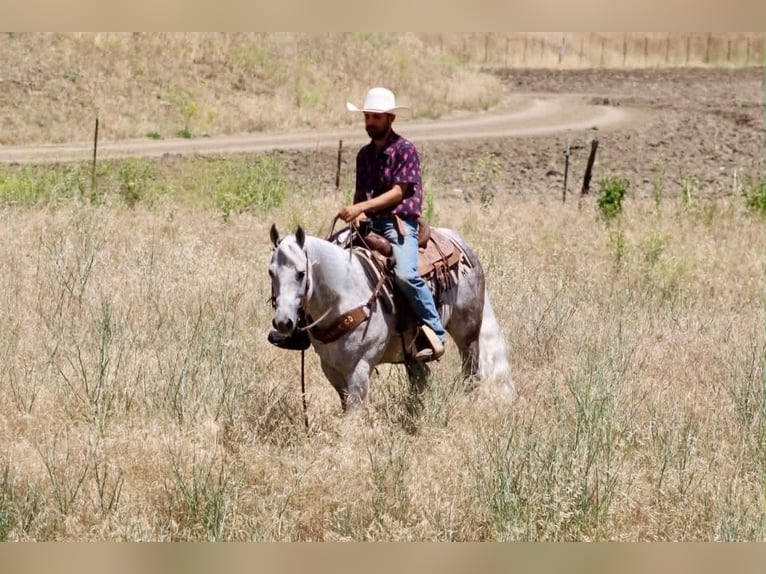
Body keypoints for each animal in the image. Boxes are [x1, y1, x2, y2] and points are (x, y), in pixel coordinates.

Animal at [268, 222, 514, 413]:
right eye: (271, 272)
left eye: (301, 273)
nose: (283, 322)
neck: (344, 293)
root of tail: (458, 241)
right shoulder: (330, 367)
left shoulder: (360, 368)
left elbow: (353, 414)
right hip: (413, 350)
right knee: (421, 377)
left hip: (468, 334)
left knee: (471, 373)